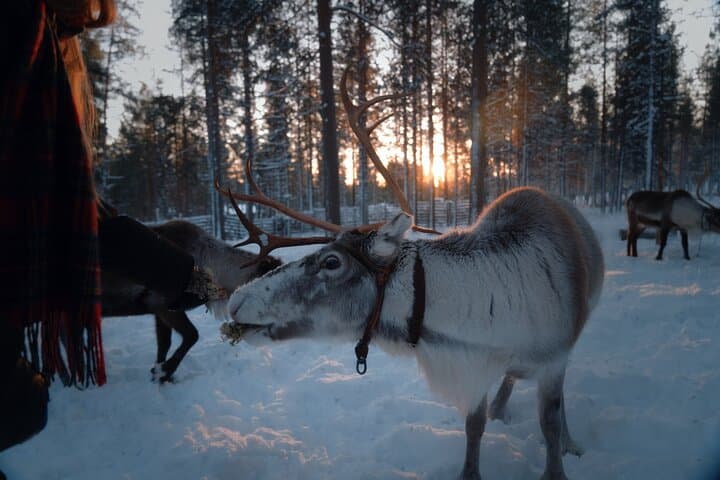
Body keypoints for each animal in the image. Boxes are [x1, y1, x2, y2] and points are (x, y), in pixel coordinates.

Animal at [100, 214, 280, 383]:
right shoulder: (163, 305)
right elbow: (192, 335)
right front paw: (164, 371)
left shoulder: (158, 310)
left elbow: (164, 344)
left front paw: (158, 374)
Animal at [218, 67, 605, 480]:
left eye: (332, 262)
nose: (236, 301)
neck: (493, 326)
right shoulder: (476, 367)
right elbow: (474, 425)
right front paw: (472, 466)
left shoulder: (554, 358)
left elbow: (549, 423)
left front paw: (560, 459)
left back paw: (570, 440)